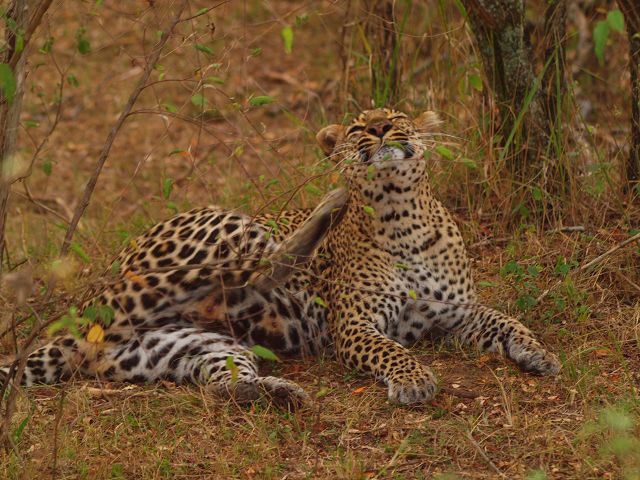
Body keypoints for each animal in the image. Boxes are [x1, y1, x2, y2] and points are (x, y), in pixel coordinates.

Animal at [1, 107, 561, 406]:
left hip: (181, 346)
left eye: (397, 116)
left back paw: (280, 392)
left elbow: (506, 321)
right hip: (225, 230)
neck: (403, 216)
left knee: (224, 385)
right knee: (263, 268)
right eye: (358, 128)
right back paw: (328, 206)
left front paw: (540, 353)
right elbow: (391, 350)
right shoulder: (355, 325)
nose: (380, 128)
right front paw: (414, 380)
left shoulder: (459, 314)